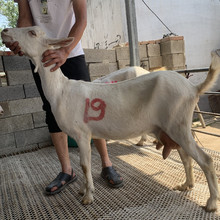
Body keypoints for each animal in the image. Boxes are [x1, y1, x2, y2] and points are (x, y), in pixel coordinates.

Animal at [1, 26, 218, 211]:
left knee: (205, 160)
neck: (61, 90)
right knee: (186, 157)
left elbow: (84, 165)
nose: (5, 31)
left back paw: (211, 203)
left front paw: (88, 196)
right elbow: (83, 165)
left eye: (32, 33)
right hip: (171, 127)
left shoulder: (82, 134)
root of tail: (193, 88)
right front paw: (83, 189)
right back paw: (186, 185)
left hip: (178, 125)